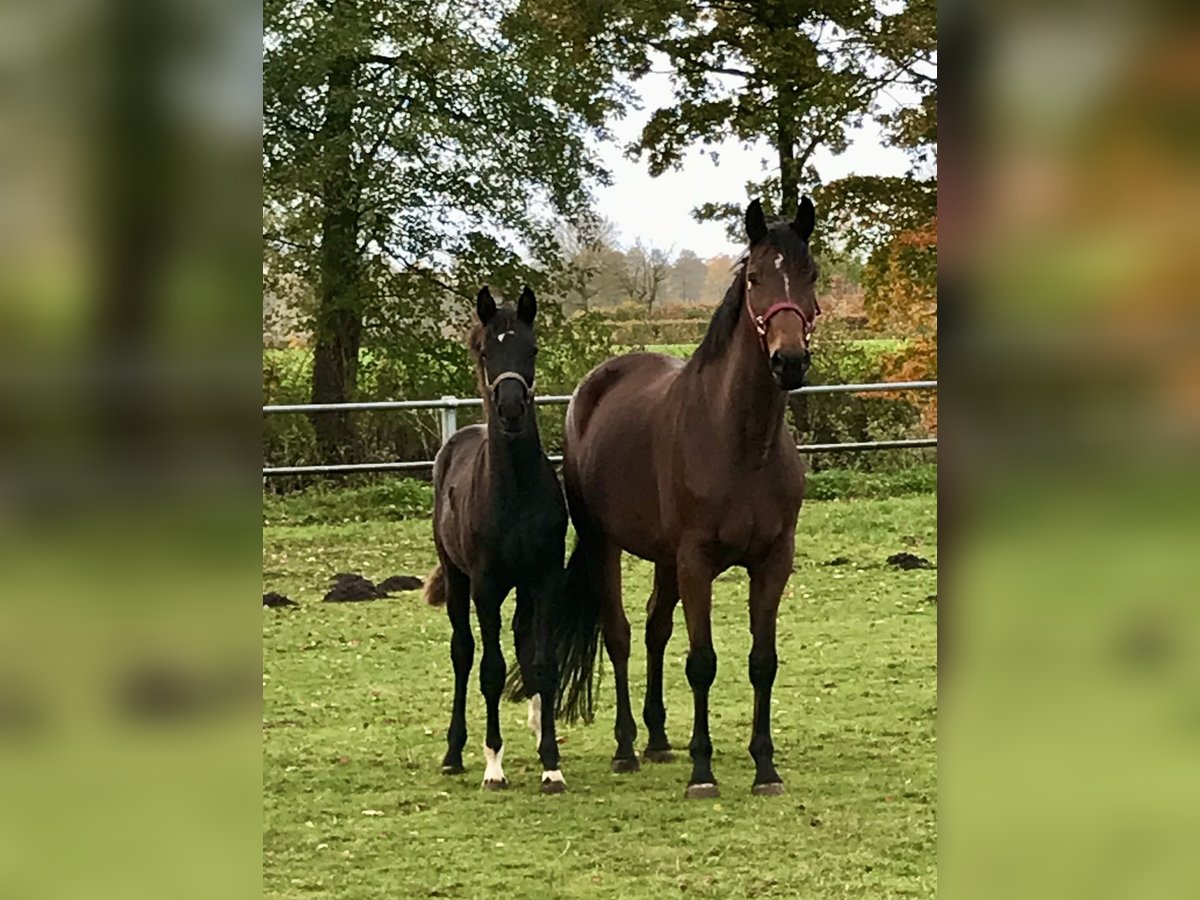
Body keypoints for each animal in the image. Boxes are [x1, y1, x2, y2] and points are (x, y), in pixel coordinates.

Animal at [424, 286, 568, 796]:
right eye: (488, 351)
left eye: (533, 349)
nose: (509, 409)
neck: (515, 492)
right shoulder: (485, 587)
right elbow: (489, 669)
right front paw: (493, 766)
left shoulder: (545, 580)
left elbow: (543, 664)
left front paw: (552, 764)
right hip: (456, 578)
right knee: (463, 653)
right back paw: (452, 754)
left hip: (521, 588)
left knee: (522, 642)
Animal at [556, 200, 820, 801]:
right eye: (755, 277)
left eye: (812, 274)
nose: (789, 361)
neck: (741, 444)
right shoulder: (697, 562)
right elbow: (702, 662)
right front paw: (703, 772)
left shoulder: (773, 561)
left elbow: (762, 662)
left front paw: (765, 768)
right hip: (605, 543)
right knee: (621, 636)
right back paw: (627, 747)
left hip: (663, 558)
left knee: (655, 628)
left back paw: (657, 739)